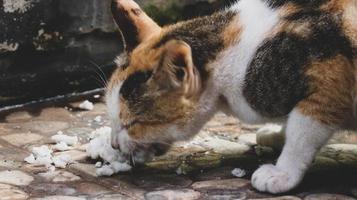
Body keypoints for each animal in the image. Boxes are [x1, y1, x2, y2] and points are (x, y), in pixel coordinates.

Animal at [104, 0, 354, 194]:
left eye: (132, 123)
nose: (114, 144)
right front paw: (276, 135)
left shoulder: (330, 79)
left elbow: (302, 134)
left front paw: (281, 173)